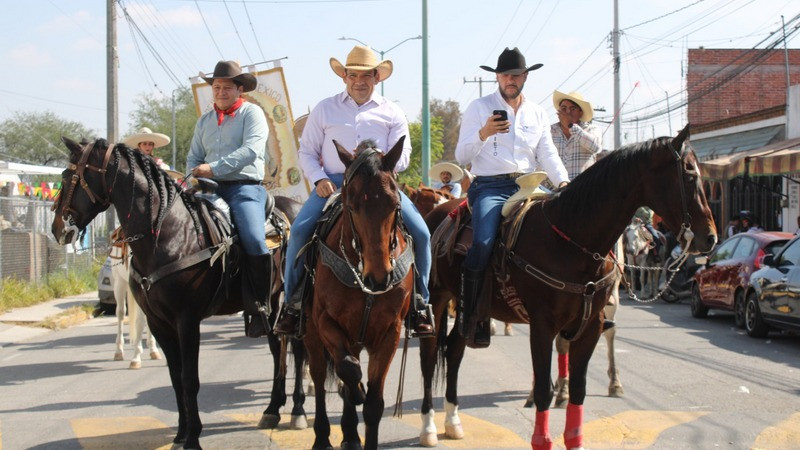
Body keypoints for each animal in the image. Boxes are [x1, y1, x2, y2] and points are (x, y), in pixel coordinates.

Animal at [109, 236, 161, 370]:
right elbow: (139, 322)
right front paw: (136, 357)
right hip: (119, 283)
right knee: (121, 313)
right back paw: (118, 351)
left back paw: (154, 350)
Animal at [302, 137, 410, 450]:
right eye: (351, 205)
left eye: (394, 203)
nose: (379, 276)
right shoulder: (325, 323)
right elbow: (349, 370)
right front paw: (356, 391)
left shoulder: (389, 333)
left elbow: (374, 404)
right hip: (313, 334)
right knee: (321, 376)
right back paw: (323, 436)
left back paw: (350, 434)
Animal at [416, 124, 716, 450]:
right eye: (689, 174)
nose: (711, 238)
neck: (571, 237)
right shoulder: (542, 326)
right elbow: (544, 391)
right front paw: (542, 435)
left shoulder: (591, 326)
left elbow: (579, 389)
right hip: (436, 299)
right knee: (430, 355)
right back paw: (428, 427)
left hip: (465, 311)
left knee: (454, 350)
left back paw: (453, 421)